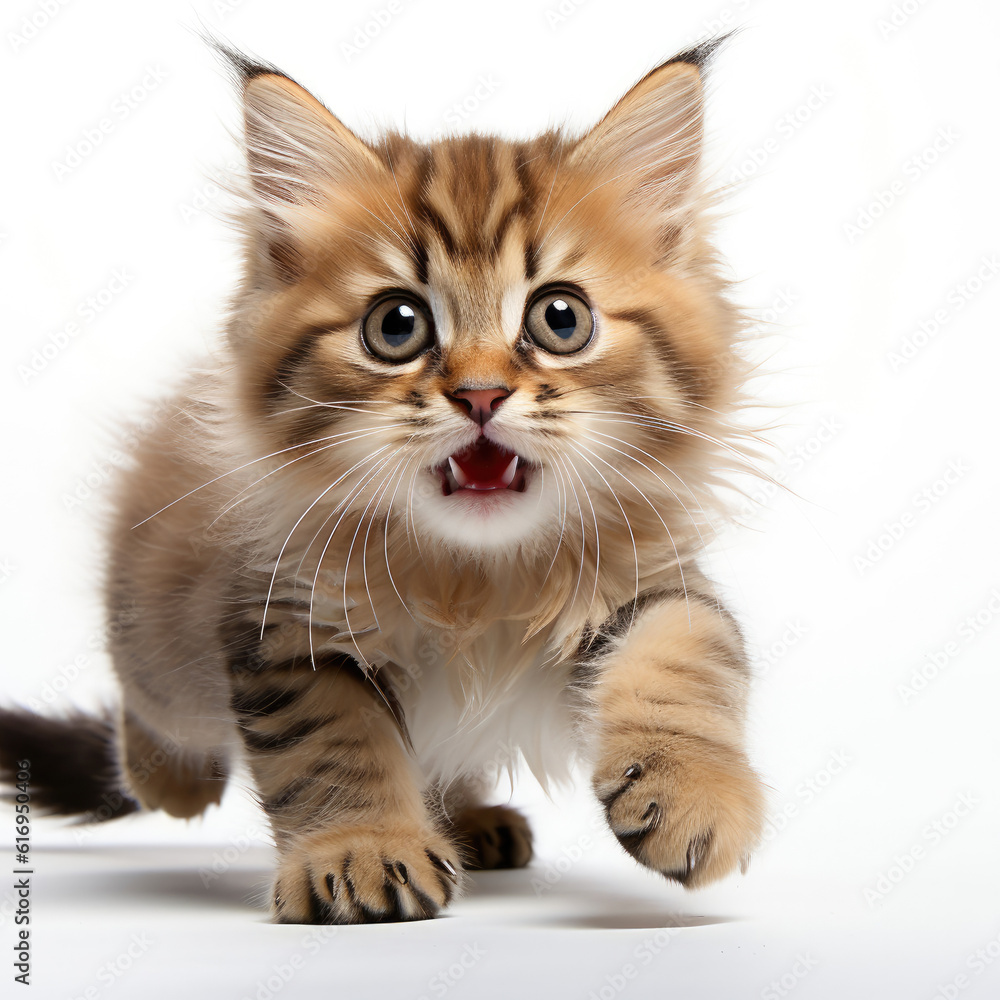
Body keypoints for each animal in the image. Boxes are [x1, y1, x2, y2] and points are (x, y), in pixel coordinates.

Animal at [0, 43, 764, 924]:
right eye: (397, 326)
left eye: (560, 319)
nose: (480, 395)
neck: (476, 578)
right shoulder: (286, 629)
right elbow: (335, 746)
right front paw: (362, 851)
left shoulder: (653, 581)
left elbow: (686, 658)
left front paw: (696, 797)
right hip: (162, 651)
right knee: (159, 711)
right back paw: (171, 778)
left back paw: (470, 819)